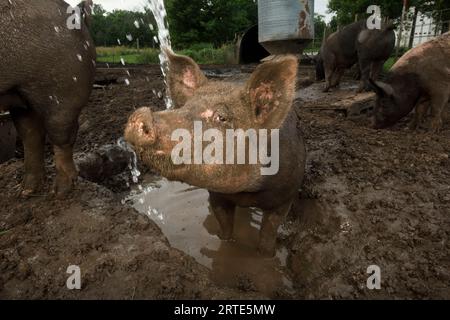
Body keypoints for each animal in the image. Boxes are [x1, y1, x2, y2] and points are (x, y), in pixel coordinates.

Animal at [0, 0, 95, 196]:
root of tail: (76, 13)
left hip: (62, 90)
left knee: (61, 136)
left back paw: (59, 192)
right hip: (23, 98)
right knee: (32, 135)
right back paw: (26, 192)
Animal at [125, 53, 308, 258]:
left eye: (221, 117)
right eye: (186, 106)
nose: (141, 114)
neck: (246, 193)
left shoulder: (285, 197)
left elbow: (269, 233)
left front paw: (267, 256)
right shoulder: (217, 195)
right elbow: (225, 227)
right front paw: (223, 241)